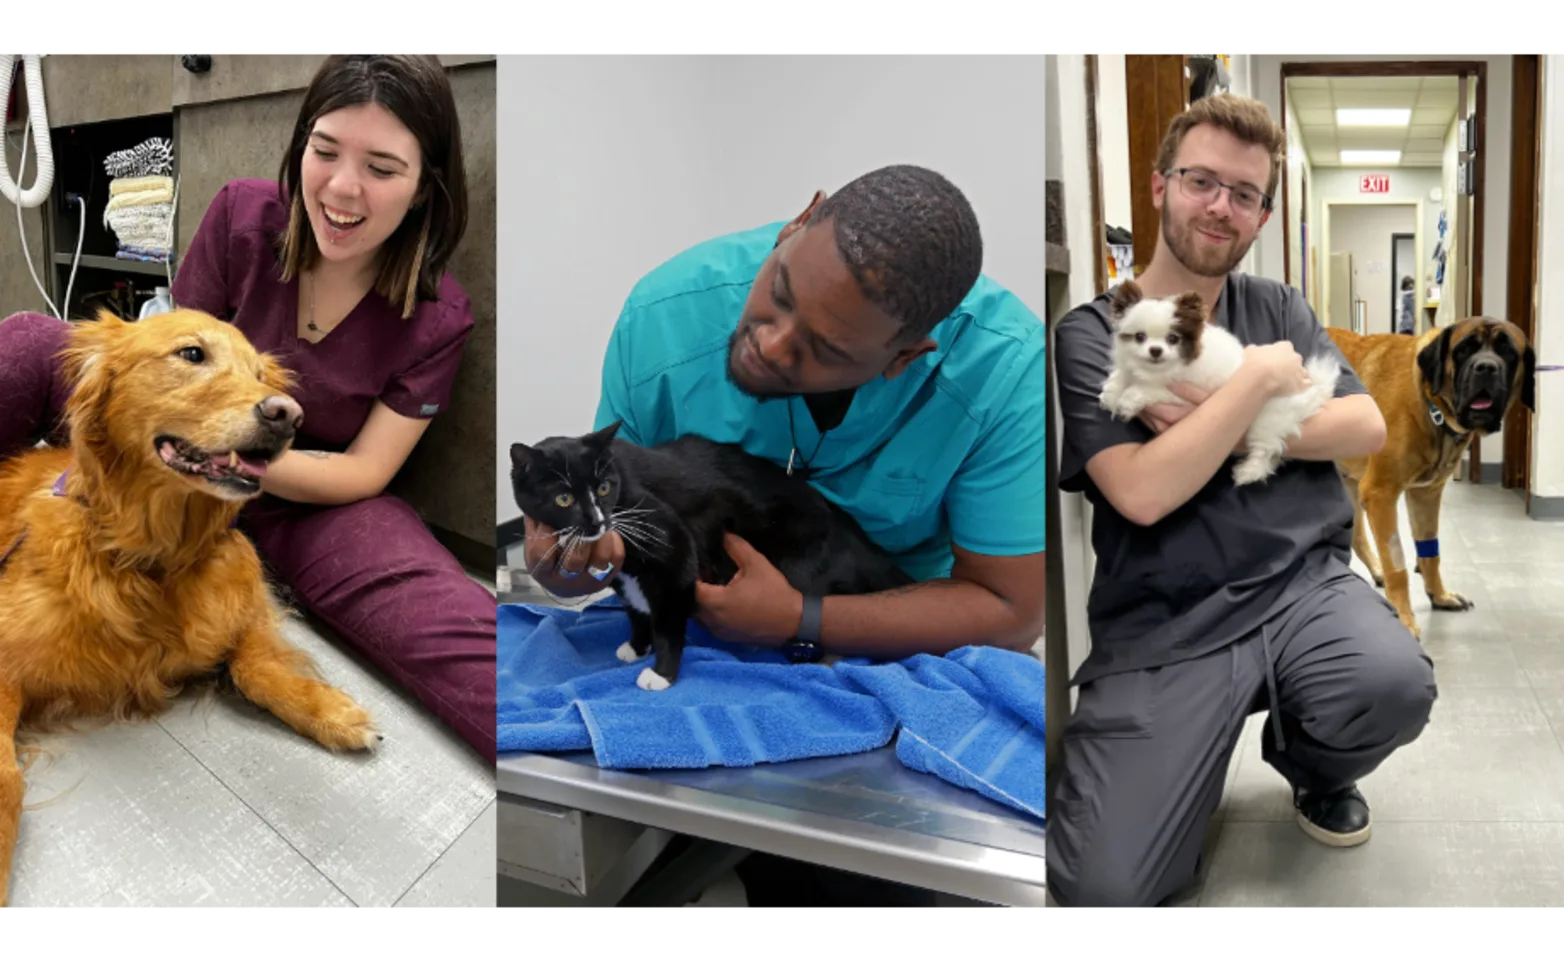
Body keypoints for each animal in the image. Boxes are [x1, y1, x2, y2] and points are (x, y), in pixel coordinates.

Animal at [506, 422, 913, 691]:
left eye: (604, 488)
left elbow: (668, 619)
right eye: (564, 498)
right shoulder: (622, 570)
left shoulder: (671, 544)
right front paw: (637, 646)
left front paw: (662, 673)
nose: (597, 521)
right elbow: (635, 608)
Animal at [1094, 279, 1338, 487]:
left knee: (1266, 450)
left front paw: (1127, 401)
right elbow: (1122, 376)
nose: (1155, 350)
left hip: (1265, 421)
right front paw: (1111, 393)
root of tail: (1309, 394)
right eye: (1140, 337)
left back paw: (1248, 472)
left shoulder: (1183, 394)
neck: (1158, 370)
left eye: (1173, 339)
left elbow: (1150, 389)